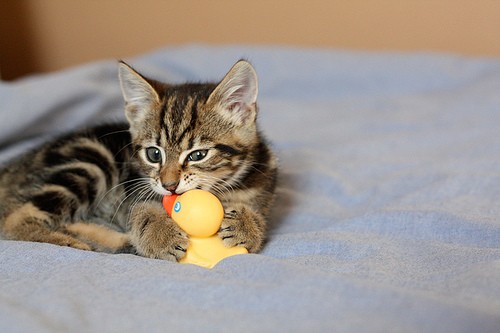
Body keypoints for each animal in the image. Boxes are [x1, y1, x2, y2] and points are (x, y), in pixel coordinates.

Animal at [0, 61, 278, 260]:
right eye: (154, 154)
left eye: (198, 155)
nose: (169, 185)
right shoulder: (134, 188)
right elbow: (142, 211)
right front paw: (160, 235)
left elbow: (260, 215)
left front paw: (246, 225)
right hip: (90, 160)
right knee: (13, 220)